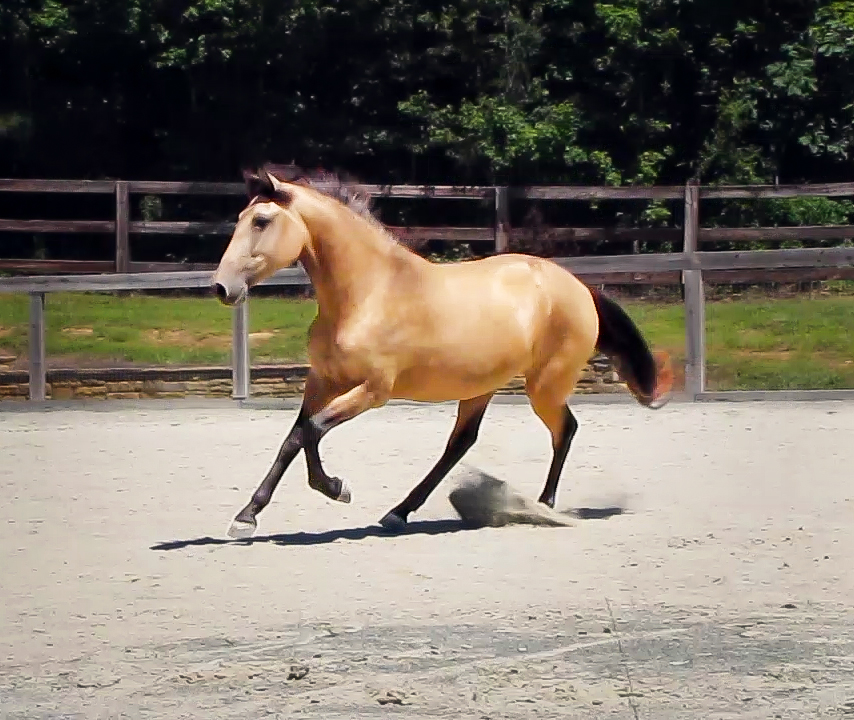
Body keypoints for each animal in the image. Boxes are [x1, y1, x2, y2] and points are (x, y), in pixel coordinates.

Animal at [209, 166, 676, 536]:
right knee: (462, 443)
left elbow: (312, 430)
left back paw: (542, 507)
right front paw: (246, 516)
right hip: (481, 386)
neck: (368, 294)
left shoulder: (373, 391)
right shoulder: (322, 380)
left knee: (565, 429)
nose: (221, 288)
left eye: (261, 220)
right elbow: (294, 438)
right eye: (241, 218)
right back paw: (399, 512)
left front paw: (337, 489)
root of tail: (580, 288)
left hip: (543, 386)